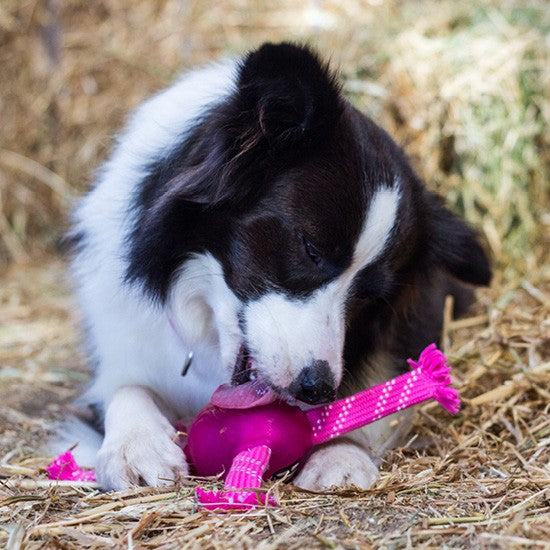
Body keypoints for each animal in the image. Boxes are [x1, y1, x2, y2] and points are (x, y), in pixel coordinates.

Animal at [64, 43, 492, 492]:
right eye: (311, 249)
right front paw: (135, 446)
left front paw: (341, 452)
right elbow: (125, 388)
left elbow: (382, 396)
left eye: (369, 295)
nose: (316, 389)